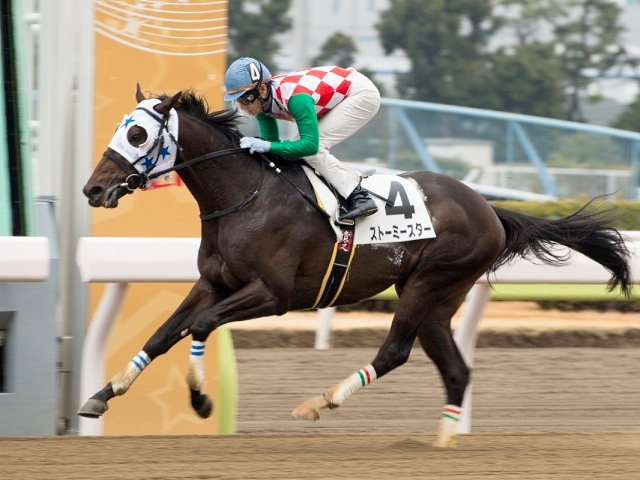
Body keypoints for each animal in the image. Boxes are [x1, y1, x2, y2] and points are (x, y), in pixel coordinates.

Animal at [79, 85, 632, 446]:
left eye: (136, 133)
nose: (93, 189)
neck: (243, 198)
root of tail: (490, 209)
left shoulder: (273, 295)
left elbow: (200, 325)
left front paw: (199, 401)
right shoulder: (212, 282)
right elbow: (160, 335)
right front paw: (101, 395)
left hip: (429, 283)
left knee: (395, 352)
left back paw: (320, 402)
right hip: (439, 299)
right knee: (456, 369)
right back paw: (443, 442)